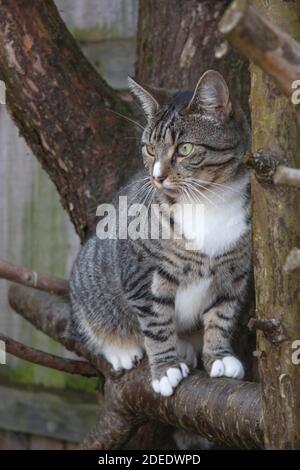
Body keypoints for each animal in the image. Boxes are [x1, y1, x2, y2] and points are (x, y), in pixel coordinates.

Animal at [69, 70, 251, 396]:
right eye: (150, 149)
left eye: (185, 148)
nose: (157, 176)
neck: (207, 200)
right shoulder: (143, 274)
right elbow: (156, 324)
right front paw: (165, 369)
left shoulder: (235, 271)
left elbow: (223, 314)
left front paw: (219, 356)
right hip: (88, 287)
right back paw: (122, 349)